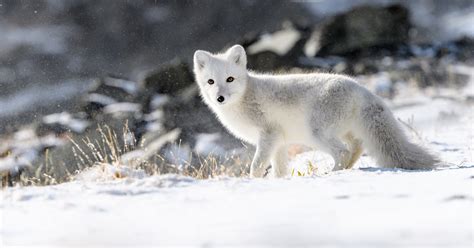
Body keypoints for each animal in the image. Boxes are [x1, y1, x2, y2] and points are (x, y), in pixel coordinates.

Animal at [192, 44, 436, 176]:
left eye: (230, 79)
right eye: (211, 81)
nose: (220, 98)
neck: (245, 97)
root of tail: (362, 89)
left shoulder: (268, 135)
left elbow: (257, 165)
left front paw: (253, 181)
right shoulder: (280, 142)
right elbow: (279, 169)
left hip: (316, 133)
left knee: (343, 151)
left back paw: (334, 173)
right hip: (343, 131)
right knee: (356, 147)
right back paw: (346, 169)